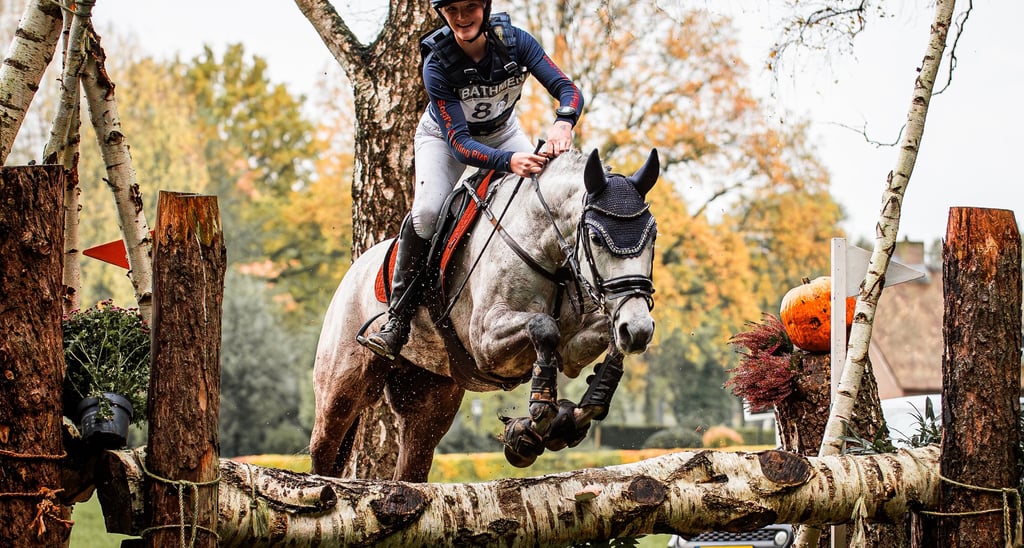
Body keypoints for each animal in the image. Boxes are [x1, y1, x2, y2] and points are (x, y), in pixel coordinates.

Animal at [310, 148, 660, 482]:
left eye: (653, 236)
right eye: (597, 238)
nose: (639, 329)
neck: (545, 249)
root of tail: (354, 270)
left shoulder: (572, 349)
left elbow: (602, 340)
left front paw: (576, 409)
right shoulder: (485, 342)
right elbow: (544, 325)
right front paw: (537, 414)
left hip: (427, 399)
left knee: (411, 468)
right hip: (342, 388)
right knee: (325, 450)